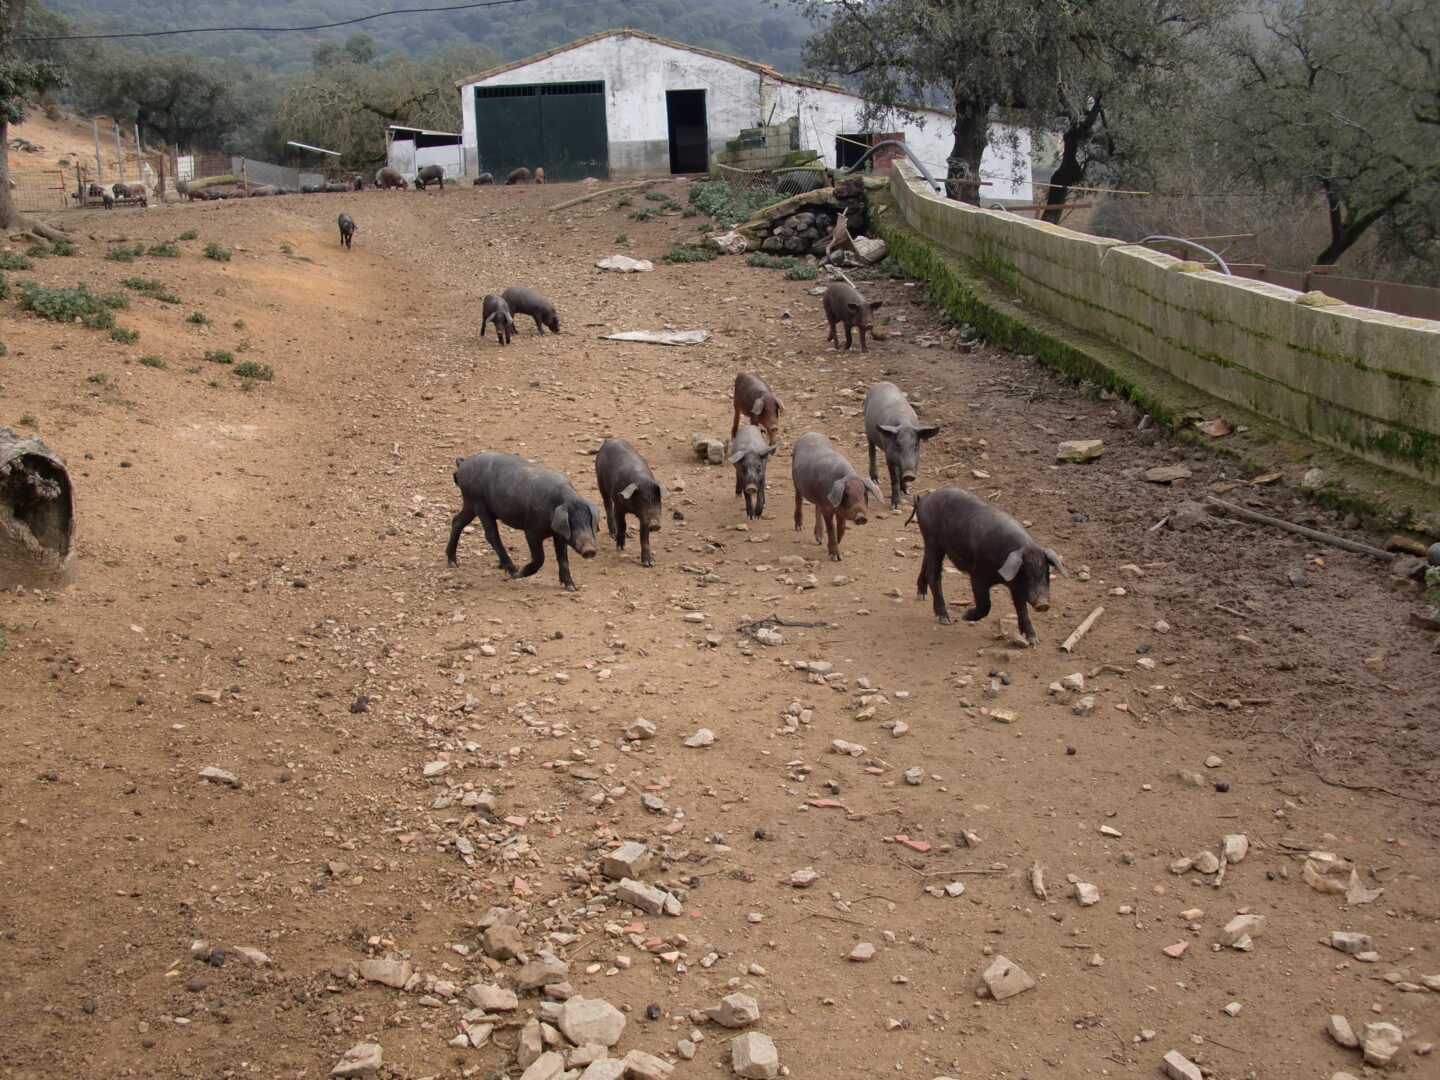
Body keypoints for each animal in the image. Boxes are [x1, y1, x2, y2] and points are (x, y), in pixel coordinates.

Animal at [593, 440, 665, 576]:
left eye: (657, 501)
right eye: (641, 501)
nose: (654, 524)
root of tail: (609, 441)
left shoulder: (644, 518)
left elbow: (644, 537)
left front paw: (648, 564)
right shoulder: (619, 507)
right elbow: (622, 525)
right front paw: (620, 548)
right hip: (600, 480)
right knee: (607, 504)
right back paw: (613, 534)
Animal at [794, 434, 881, 567]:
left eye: (865, 493)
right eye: (846, 494)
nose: (861, 516)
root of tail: (810, 433)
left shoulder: (840, 511)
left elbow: (842, 528)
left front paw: (830, 545)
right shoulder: (827, 509)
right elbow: (831, 529)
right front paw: (836, 558)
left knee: (816, 508)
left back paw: (819, 539)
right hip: (796, 481)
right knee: (798, 500)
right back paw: (799, 528)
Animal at [858, 380, 938, 512]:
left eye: (916, 444)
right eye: (897, 444)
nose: (909, 475)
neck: (904, 423)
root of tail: (881, 382)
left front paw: (906, 491)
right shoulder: (889, 456)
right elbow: (894, 478)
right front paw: (896, 506)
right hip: (868, 431)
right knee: (872, 451)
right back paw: (876, 479)